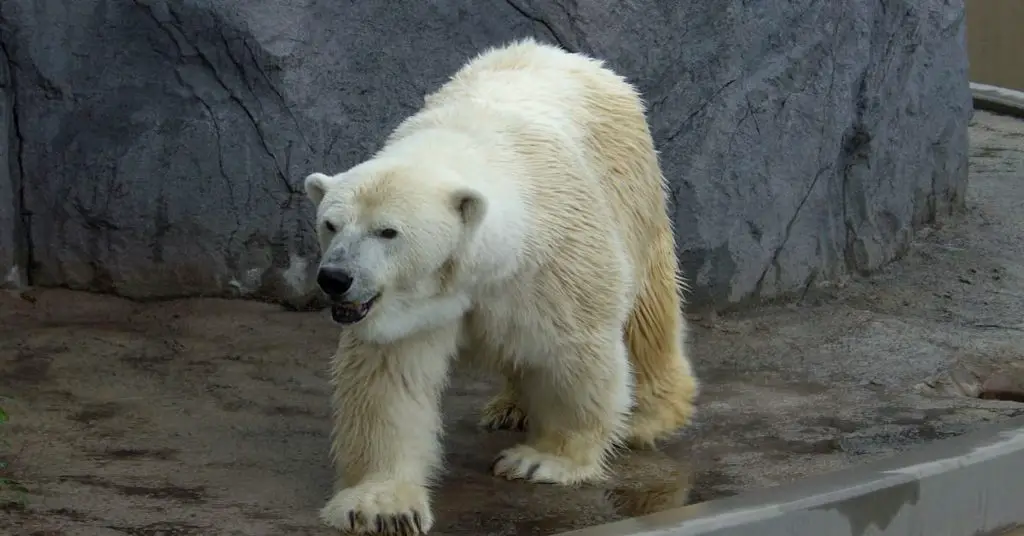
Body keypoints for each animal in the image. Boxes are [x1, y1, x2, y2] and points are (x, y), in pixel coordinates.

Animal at [305, 37, 696, 532]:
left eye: (387, 231)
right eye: (331, 224)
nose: (335, 278)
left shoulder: (556, 259)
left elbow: (574, 352)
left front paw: (543, 461)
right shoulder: (407, 310)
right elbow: (389, 382)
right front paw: (380, 505)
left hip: (631, 189)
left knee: (647, 315)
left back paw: (648, 415)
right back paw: (511, 408)